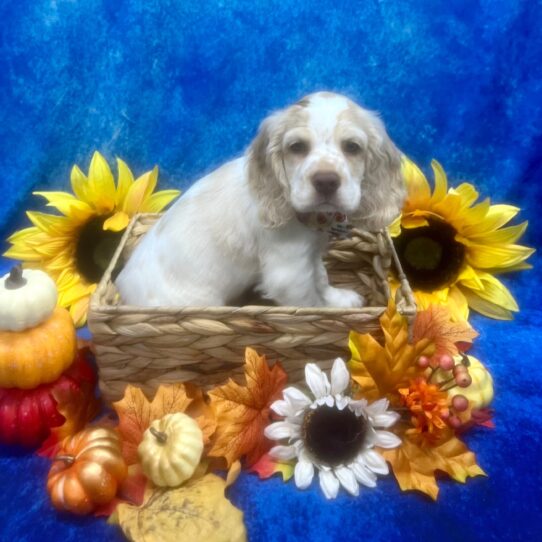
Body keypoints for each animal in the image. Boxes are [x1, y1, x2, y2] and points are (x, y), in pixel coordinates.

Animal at [117, 91, 406, 308]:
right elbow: (311, 303)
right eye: (297, 147)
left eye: (352, 147)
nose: (326, 181)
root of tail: (123, 293)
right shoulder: (288, 272)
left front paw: (338, 299)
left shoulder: (310, 253)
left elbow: (321, 277)